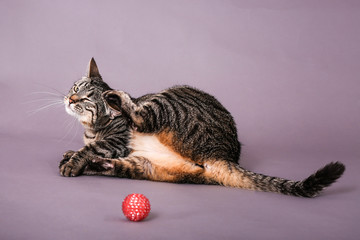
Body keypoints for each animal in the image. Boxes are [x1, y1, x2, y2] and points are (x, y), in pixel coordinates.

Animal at [59, 58, 346, 197]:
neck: (92, 128)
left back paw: (118, 97)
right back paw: (95, 163)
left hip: (170, 97)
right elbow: (85, 148)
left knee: (140, 116)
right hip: (146, 165)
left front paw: (75, 160)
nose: (70, 98)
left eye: (86, 100)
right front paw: (71, 155)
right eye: (75, 88)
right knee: (116, 165)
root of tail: (222, 155)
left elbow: (92, 147)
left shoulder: (117, 141)